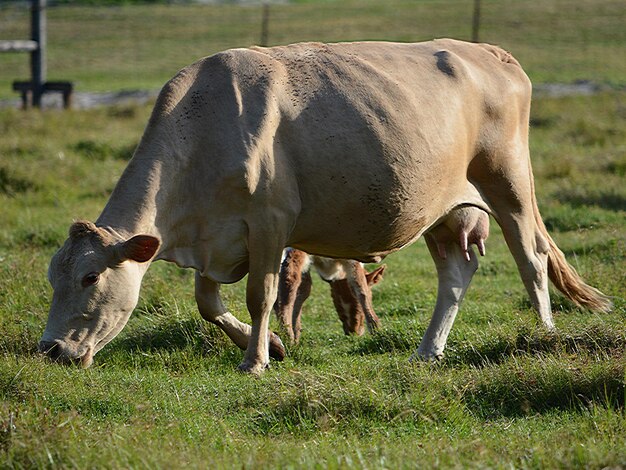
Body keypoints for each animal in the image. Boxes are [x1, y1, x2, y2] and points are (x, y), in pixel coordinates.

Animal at [40, 38, 608, 372]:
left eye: (90, 277)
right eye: (52, 277)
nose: (50, 348)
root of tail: (489, 51)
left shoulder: (270, 222)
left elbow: (262, 294)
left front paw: (255, 361)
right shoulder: (215, 236)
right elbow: (207, 302)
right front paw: (270, 345)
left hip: (508, 181)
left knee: (531, 257)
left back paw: (542, 336)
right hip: (442, 207)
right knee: (456, 273)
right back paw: (429, 349)